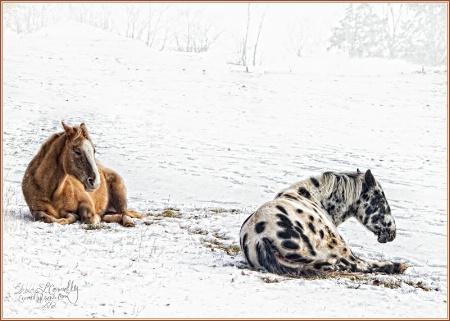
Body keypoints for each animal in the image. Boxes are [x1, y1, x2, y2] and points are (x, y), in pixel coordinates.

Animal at [241, 169, 410, 276]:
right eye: (381, 200)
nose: (392, 233)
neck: (311, 197)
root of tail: (260, 238)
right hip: (338, 248)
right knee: (359, 265)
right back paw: (397, 266)